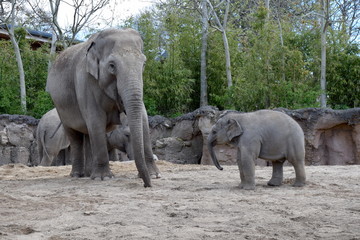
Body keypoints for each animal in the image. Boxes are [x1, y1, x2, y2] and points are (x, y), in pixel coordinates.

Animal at [46, 27, 160, 187]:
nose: (146, 185)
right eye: (112, 65)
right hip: (60, 108)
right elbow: (96, 119)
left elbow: (143, 117)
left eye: (143, 64)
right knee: (75, 136)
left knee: (88, 133)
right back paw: (78, 175)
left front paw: (155, 175)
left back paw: (89, 174)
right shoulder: (86, 81)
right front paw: (104, 178)